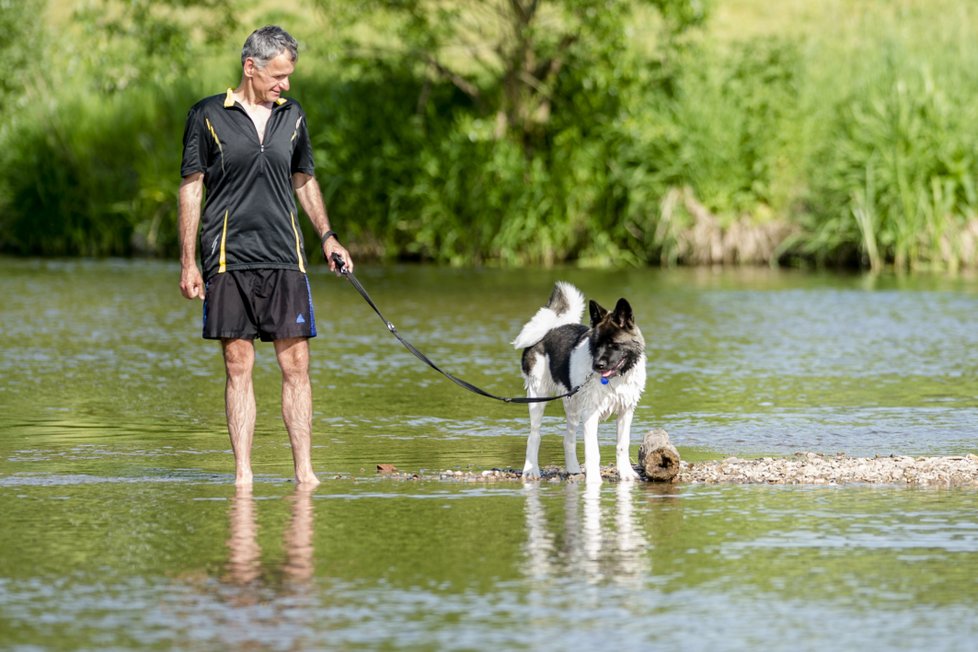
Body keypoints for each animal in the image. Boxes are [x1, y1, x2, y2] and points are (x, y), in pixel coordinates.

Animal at [510, 282, 648, 482]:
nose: (597, 365)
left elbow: (622, 445)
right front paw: (594, 481)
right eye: (596, 345)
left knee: (568, 438)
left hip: (572, 405)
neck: (616, 378)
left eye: (613, 345)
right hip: (537, 397)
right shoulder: (591, 413)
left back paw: (573, 469)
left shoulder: (626, 410)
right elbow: (593, 451)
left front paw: (626, 473)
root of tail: (550, 329)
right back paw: (530, 470)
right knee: (534, 434)